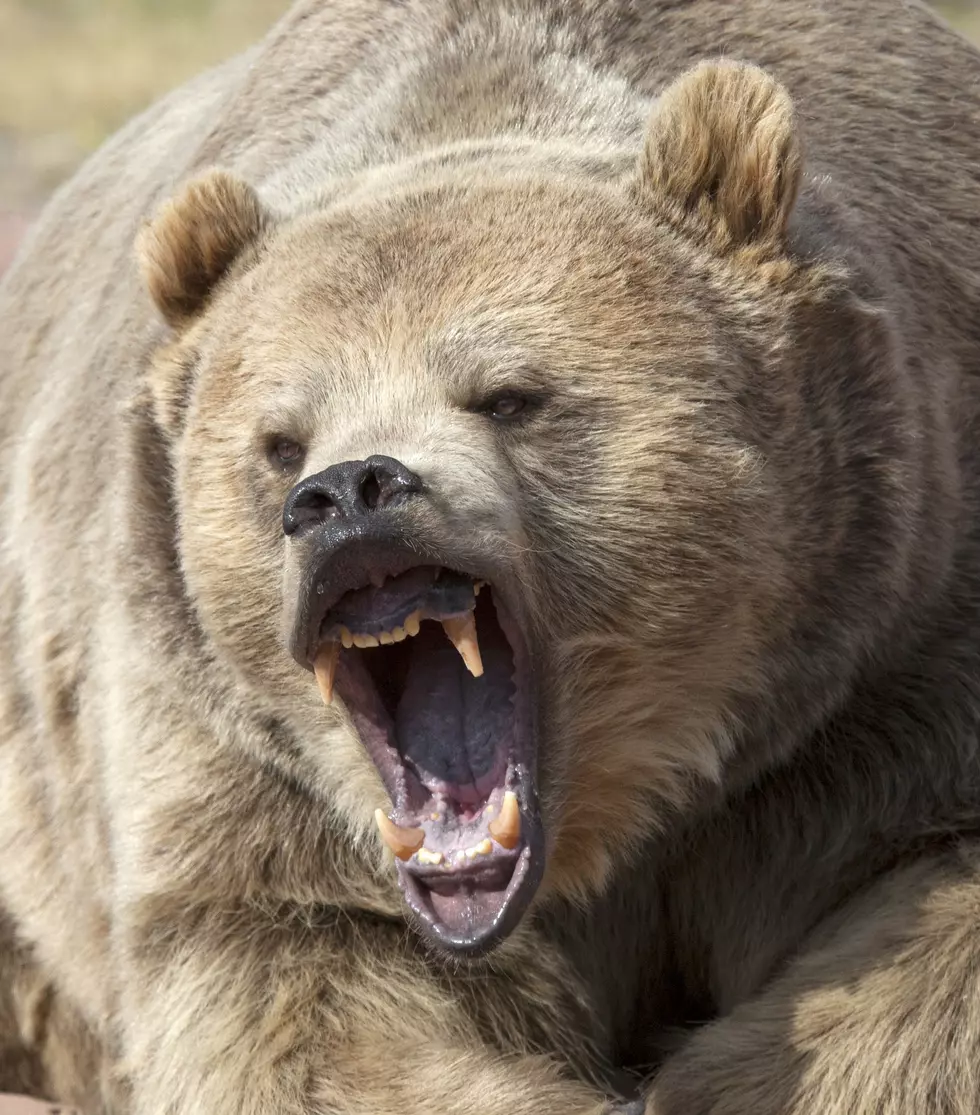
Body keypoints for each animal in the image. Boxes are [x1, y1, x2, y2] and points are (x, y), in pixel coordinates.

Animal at [1, 0, 980, 1112]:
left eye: (509, 395)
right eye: (280, 440)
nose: (348, 494)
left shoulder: (893, 640)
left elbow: (928, 917)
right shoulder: (231, 745)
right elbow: (294, 984)